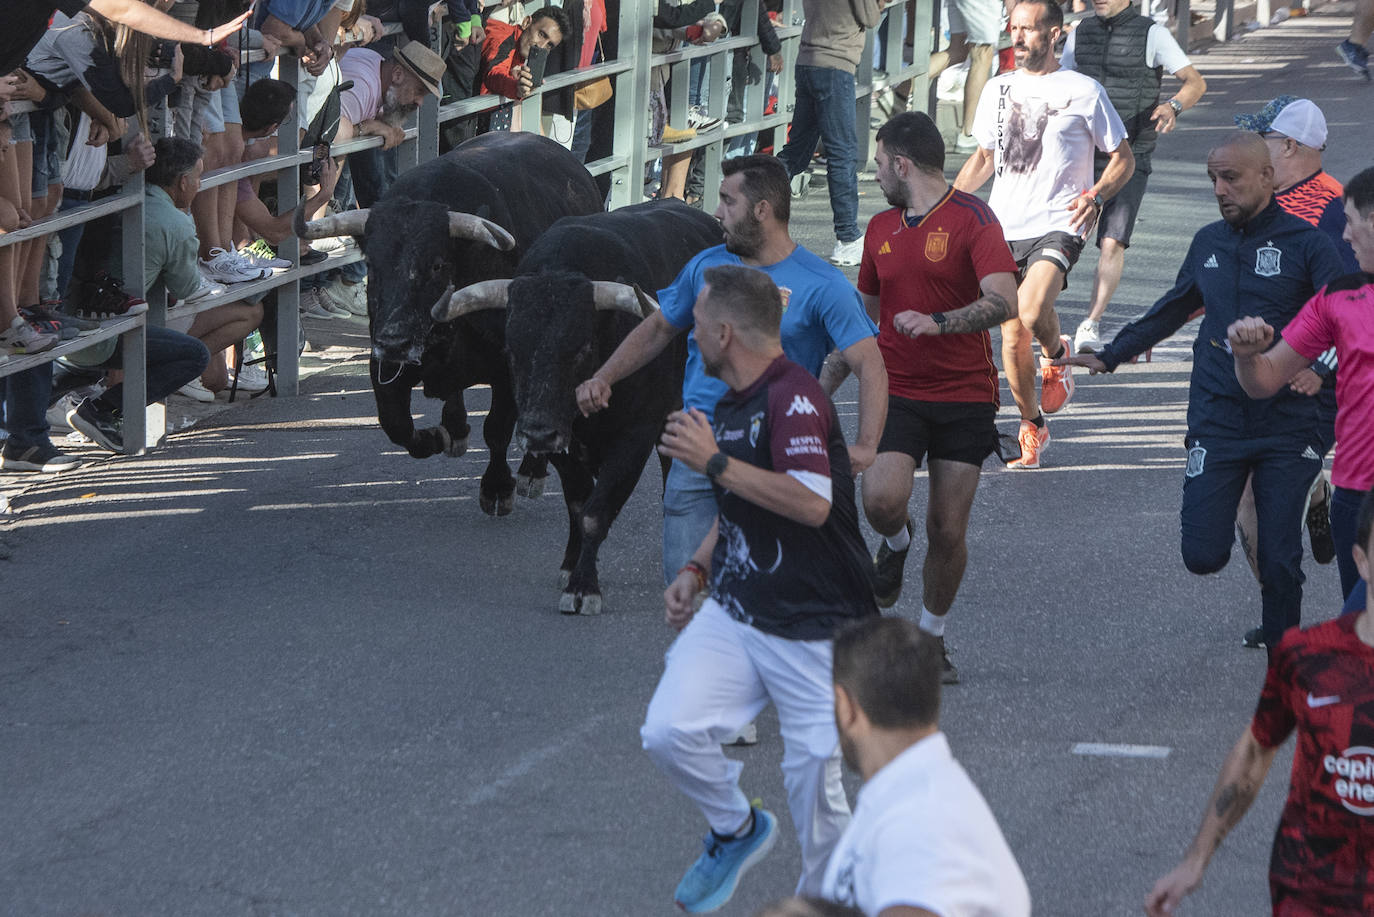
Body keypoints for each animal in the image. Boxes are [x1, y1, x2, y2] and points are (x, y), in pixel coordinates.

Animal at [295, 130, 601, 516]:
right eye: (373, 266)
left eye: (437, 265)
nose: (394, 341)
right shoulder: (385, 363)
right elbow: (396, 425)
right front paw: (435, 437)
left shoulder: (507, 369)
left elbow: (497, 430)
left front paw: (497, 488)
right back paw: (455, 430)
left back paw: (532, 470)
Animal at [434, 200, 725, 615]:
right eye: (511, 349)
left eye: (582, 348)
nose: (537, 432)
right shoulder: (561, 444)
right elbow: (577, 503)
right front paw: (571, 567)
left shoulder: (634, 437)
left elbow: (595, 513)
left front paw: (585, 587)